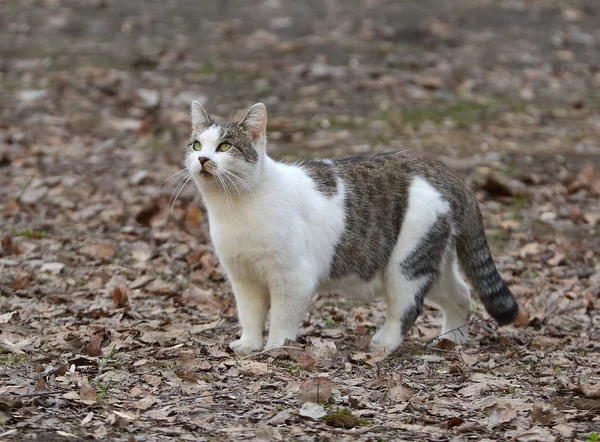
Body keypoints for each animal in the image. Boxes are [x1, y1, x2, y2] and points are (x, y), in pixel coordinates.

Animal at [185, 102, 516, 354]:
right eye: (197, 144)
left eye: (225, 146)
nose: (202, 158)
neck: (235, 208)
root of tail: (442, 168)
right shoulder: (244, 278)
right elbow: (250, 315)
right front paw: (249, 345)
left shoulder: (293, 278)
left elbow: (281, 318)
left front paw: (276, 348)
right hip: (432, 259)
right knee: (461, 293)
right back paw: (453, 340)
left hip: (406, 263)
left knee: (406, 307)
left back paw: (385, 342)